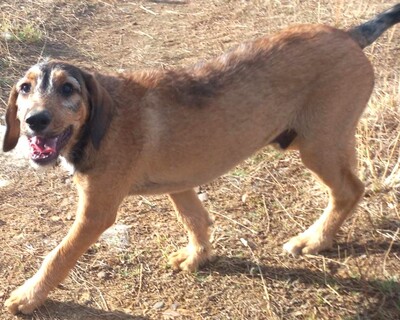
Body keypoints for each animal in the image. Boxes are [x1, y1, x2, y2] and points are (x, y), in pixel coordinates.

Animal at [3, 4, 400, 316]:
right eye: (25, 88)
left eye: (68, 89)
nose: (35, 120)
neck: (100, 124)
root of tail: (349, 35)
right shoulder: (180, 184)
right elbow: (195, 218)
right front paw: (197, 256)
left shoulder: (96, 213)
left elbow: (59, 254)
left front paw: (28, 296)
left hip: (319, 145)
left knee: (350, 189)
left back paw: (314, 240)